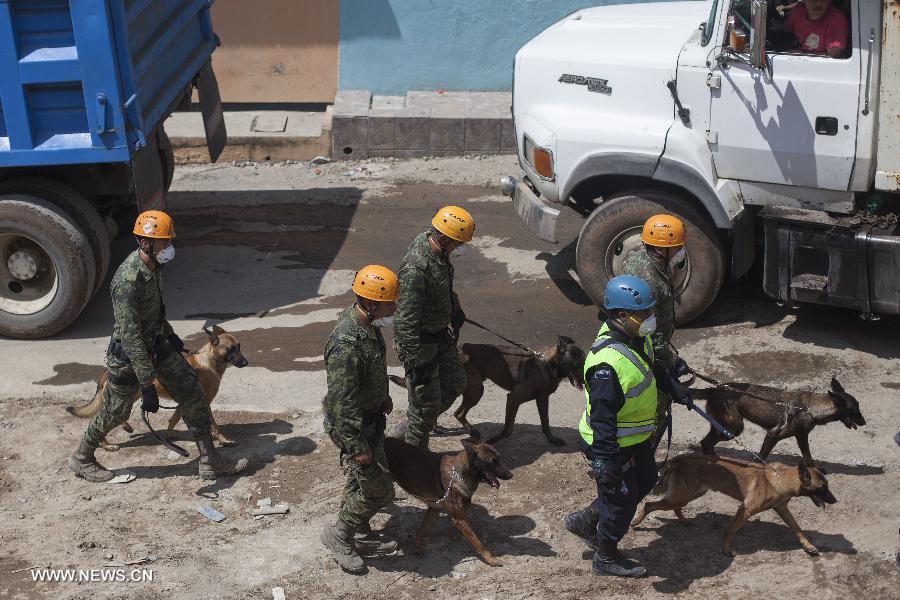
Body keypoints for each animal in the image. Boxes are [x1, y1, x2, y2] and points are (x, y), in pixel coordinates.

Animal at [65, 328, 250, 450]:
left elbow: (173, 419)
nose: (246, 362)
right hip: (125, 400)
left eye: (239, 346)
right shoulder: (203, 402)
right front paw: (224, 440)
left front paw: (169, 437)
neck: (208, 360)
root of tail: (106, 372)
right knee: (100, 419)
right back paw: (106, 445)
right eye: (231, 349)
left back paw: (125, 427)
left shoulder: (184, 404)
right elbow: (214, 424)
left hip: (127, 400)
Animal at [382, 436, 512, 568]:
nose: (510, 475)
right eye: (492, 462)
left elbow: (421, 530)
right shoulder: (459, 520)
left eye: (499, 458)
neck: (460, 474)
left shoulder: (435, 509)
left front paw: (417, 547)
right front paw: (490, 558)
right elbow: (477, 541)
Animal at [632, 452, 836, 556]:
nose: (835, 500)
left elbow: (797, 527)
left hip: (693, 493)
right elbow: (730, 531)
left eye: (828, 485)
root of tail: (678, 459)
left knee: (675, 507)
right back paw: (636, 522)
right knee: (649, 504)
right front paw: (726, 548)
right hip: (682, 495)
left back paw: (684, 521)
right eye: (822, 488)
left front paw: (808, 545)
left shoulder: (782, 508)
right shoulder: (745, 510)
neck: (781, 479)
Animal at [692, 376, 860, 468]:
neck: (809, 408)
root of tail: (713, 390)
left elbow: (808, 457)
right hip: (733, 429)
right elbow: (761, 457)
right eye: (855, 409)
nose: (863, 422)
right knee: (707, 442)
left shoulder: (801, 436)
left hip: (722, 427)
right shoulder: (773, 435)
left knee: (705, 442)